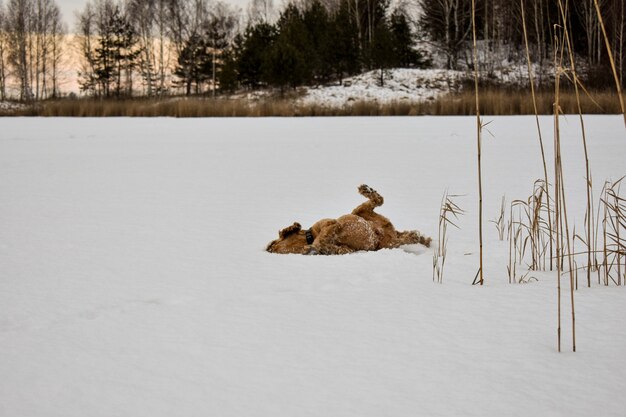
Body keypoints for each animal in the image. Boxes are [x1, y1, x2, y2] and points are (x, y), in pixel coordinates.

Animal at [264, 184, 428, 255]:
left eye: (274, 245)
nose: (269, 249)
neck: (309, 237)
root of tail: (389, 229)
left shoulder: (330, 223)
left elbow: (321, 239)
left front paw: (312, 246)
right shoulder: (346, 249)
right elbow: (331, 247)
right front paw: (315, 249)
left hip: (358, 212)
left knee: (378, 200)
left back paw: (366, 190)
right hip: (386, 241)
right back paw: (415, 235)